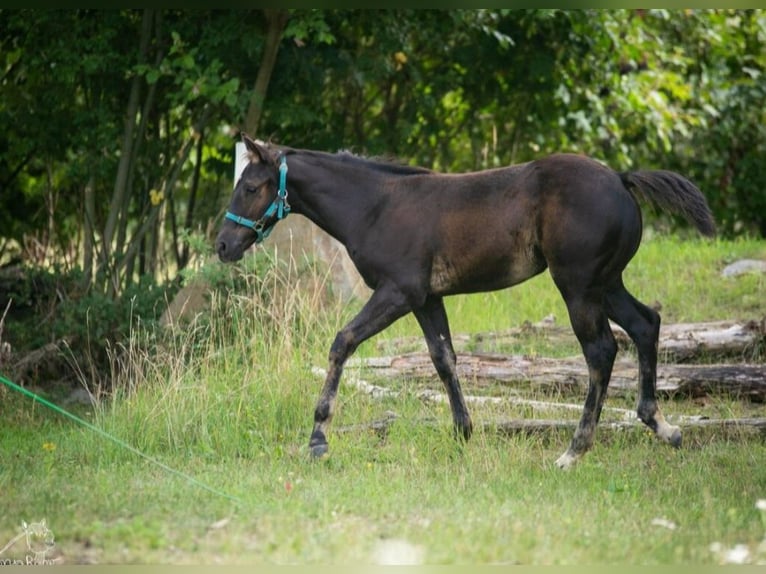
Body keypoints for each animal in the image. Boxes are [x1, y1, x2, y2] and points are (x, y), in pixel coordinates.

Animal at [216, 134, 715, 468]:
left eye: (251, 187)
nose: (223, 246)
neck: (375, 206)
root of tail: (621, 178)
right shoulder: (426, 298)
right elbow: (444, 358)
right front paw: (463, 431)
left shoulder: (398, 291)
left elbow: (343, 342)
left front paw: (318, 438)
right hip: (605, 282)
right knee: (646, 324)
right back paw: (663, 427)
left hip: (578, 286)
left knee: (601, 351)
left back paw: (574, 450)